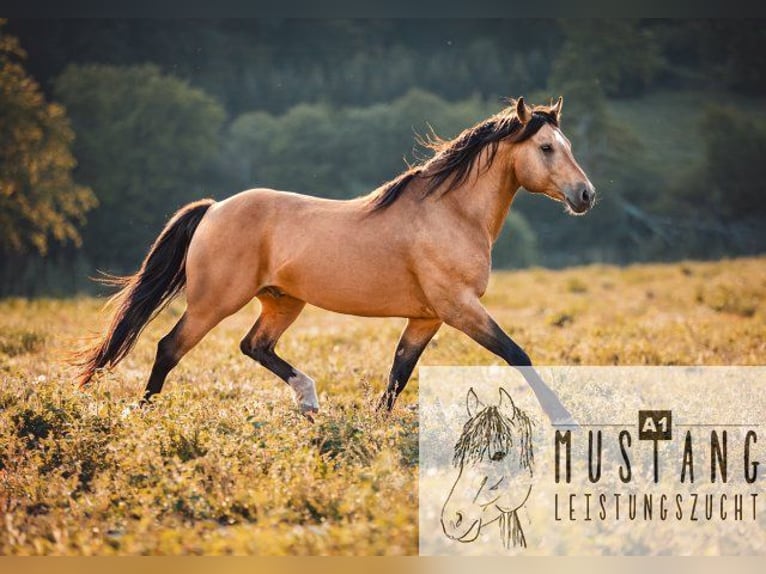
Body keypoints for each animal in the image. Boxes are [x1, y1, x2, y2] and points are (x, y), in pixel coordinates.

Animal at [76, 98, 592, 424]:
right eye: (546, 148)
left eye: (568, 146)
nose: (585, 195)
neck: (451, 212)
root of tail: (215, 207)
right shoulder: (459, 308)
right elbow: (516, 354)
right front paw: (563, 419)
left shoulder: (426, 318)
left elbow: (398, 374)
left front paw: (379, 426)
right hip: (213, 303)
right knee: (169, 347)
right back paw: (144, 414)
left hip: (282, 302)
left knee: (254, 345)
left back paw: (307, 398)